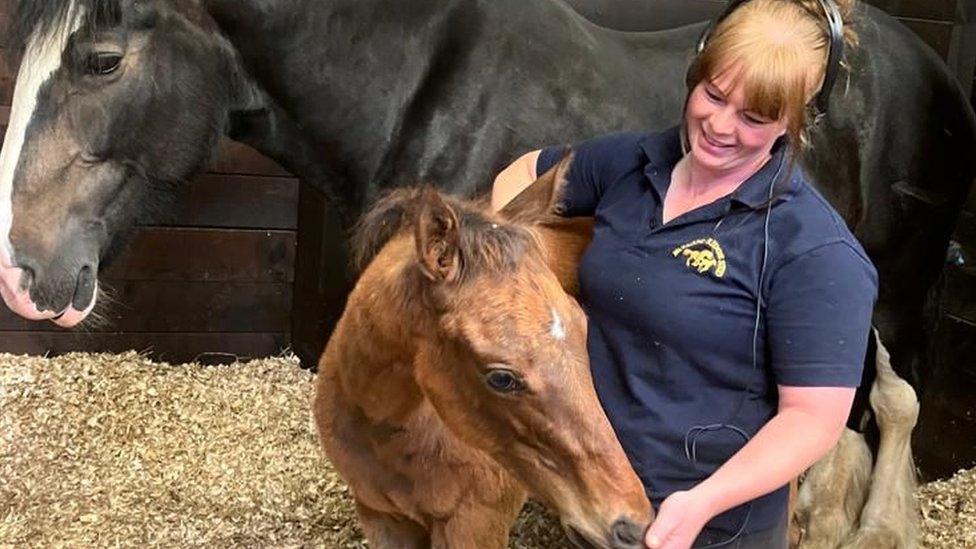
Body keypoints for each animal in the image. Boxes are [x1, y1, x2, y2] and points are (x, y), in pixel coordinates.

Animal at [312, 156, 648, 544]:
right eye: (501, 378)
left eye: (584, 329)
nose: (632, 525)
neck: (385, 435)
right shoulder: (379, 516)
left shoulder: (476, 524)